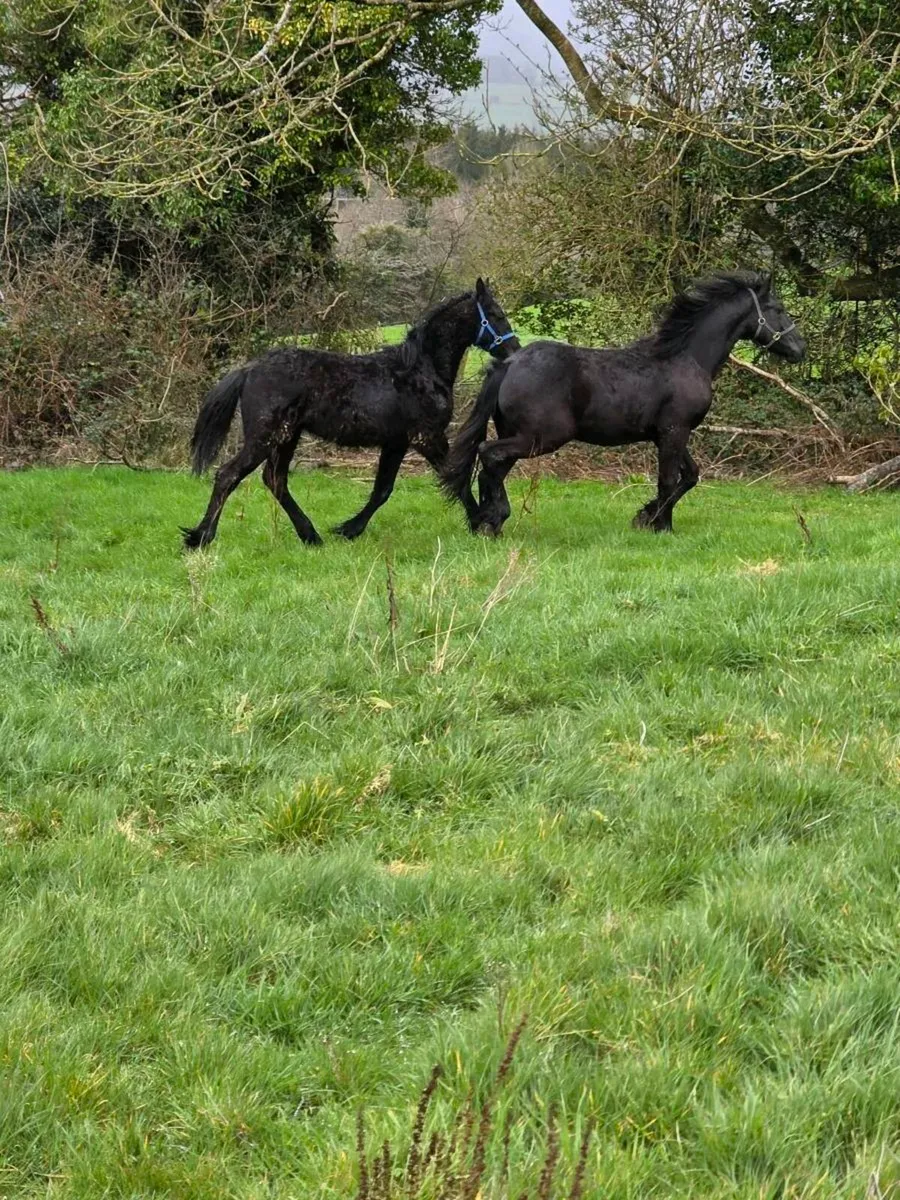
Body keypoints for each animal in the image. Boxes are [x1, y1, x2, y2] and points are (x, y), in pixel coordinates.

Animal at [181, 278, 519, 549]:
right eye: (497, 315)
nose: (514, 351)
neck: (422, 369)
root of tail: (250, 368)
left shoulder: (396, 442)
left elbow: (382, 490)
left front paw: (349, 530)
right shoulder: (427, 437)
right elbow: (455, 478)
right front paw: (483, 522)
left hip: (287, 437)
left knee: (275, 480)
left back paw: (311, 536)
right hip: (265, 436)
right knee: (228, 475)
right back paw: (200, 537)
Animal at [440, 270, 806, 536]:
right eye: (778, 309)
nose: (800, 350)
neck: (685, 359)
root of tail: (510, 363)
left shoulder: (669, 433)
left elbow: (690, 476)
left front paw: (646, 516)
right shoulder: (675, 431)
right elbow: (668, 479)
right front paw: (661, 527)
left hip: (519, 435)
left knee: (491, 465)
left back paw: (485, 521)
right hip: (540, 438)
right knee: (488, 454)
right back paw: (491, 519)